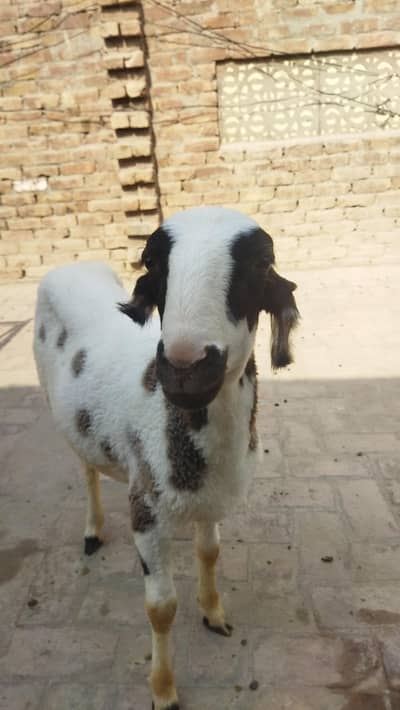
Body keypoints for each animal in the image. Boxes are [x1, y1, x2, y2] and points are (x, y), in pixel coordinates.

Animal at [33, 206, 299, 710]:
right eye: (153, 263)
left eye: (260, 264)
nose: (185, 368)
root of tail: (71, 266)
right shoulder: (148, 511)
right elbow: (160, 608)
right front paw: (163, 689)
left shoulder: (212, 499)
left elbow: (209, 552)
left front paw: (213, 613)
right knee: (86, 467)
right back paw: (93, 530)